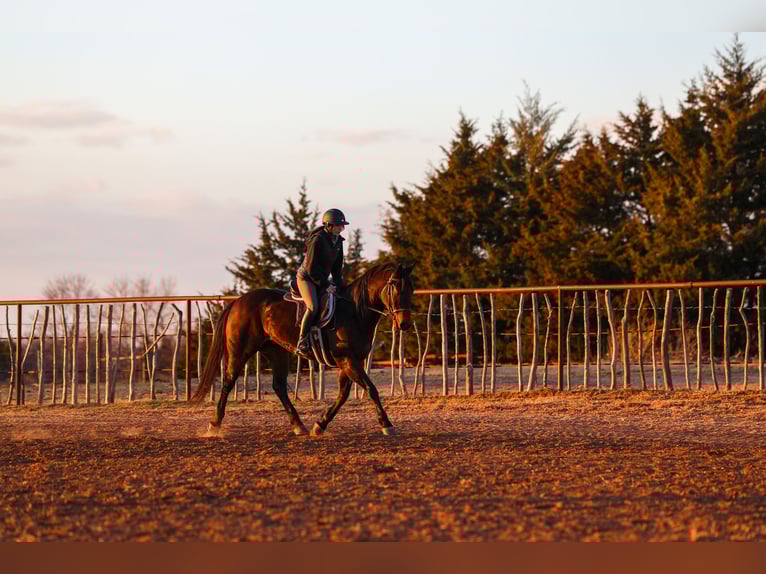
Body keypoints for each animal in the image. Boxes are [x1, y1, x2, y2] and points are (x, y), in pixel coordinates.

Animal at [190, 262, 415, 436]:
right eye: (396, 288)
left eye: (411, 290)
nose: (404, 324)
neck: (354, 312)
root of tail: (239, 301)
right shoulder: (346, 359)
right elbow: (371, 389)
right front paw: (387, 425)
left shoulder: (351, 361)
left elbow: (343, 395)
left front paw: (320, 425)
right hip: (241, 350)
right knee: (229, 382)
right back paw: (214, 425)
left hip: (276, 351)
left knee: (279, 386)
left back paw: (299, 425)